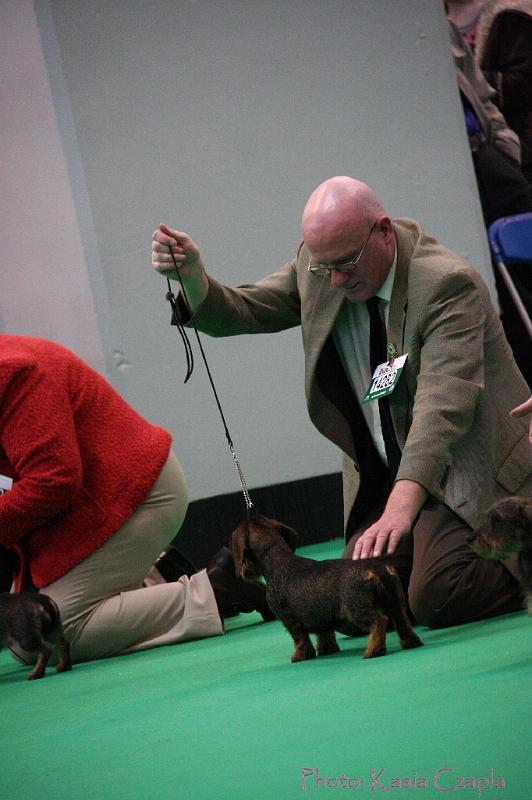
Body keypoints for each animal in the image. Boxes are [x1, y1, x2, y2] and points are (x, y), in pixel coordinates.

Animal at [231, 516, 422, 660]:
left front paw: (300, 656)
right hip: (396, 603)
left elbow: (300, 640)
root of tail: (376, 569)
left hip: (358, 609)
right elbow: (324, 635)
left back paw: (372, 650)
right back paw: (411, 643)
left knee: (379, 620)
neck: (278, 563)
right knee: (402, 621)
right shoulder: (321, 618)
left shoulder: (290, 620)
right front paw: (327, 650)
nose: (244, 572)